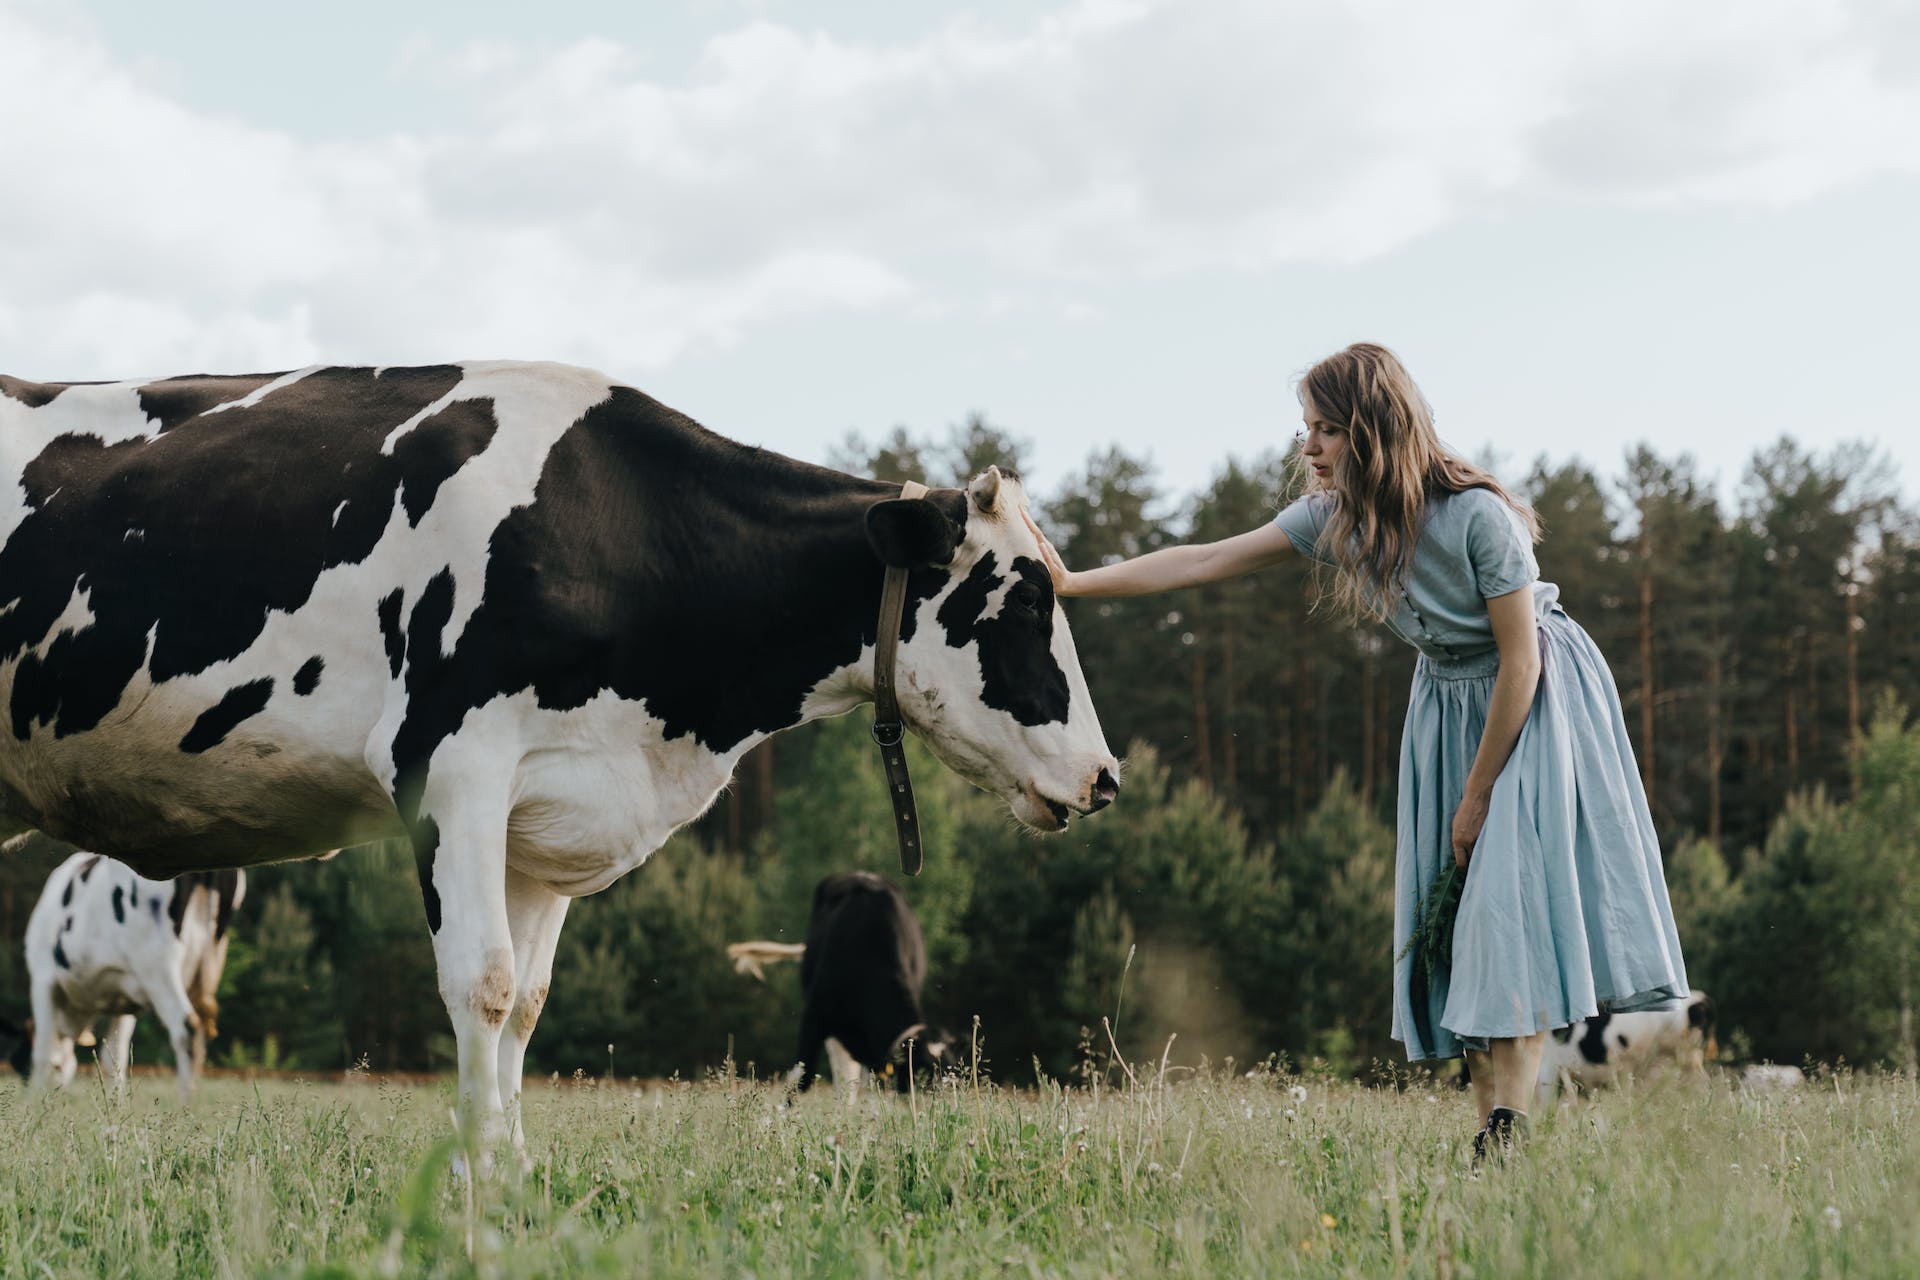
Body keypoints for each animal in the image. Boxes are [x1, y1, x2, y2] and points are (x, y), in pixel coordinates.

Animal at [22, 852, 243, 1105]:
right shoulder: (122, 998)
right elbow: (114, 1059)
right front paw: (116, 1107)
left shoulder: (43, 979)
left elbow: (41, 1054)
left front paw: (32, 1104)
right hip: (210, 964)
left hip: (157, 965)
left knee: (187, 1028)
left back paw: (184, 1107)